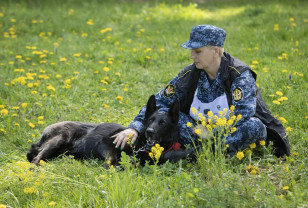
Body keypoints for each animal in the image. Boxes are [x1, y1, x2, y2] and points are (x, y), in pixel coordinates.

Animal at [27, 95, 195, 166]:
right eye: (149, 121)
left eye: (163, 123)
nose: (149, 131)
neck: (140, 145)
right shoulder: (104, 143)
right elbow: (112, 159)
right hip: (60, 138)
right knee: (36, 158)